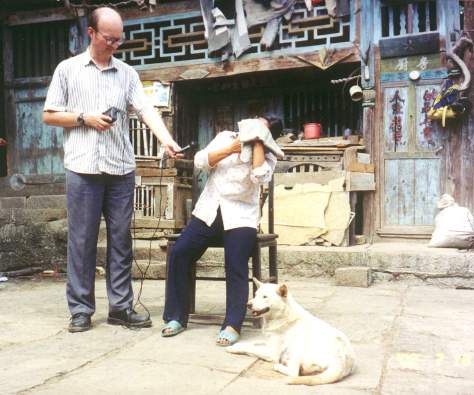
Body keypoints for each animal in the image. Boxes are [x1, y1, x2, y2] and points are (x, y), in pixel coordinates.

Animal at [227, 278, 356, 386]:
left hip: (297, 348)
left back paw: (279, 366)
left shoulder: (271, 353)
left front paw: (232, 348)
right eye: (256, 295)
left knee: (293, 373)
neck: (281, 315)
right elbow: (252, 343)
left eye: (265, 297)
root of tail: (342, 362)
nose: (248, 304)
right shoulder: (268, 342)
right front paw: (237, 344)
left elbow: (250, 349)